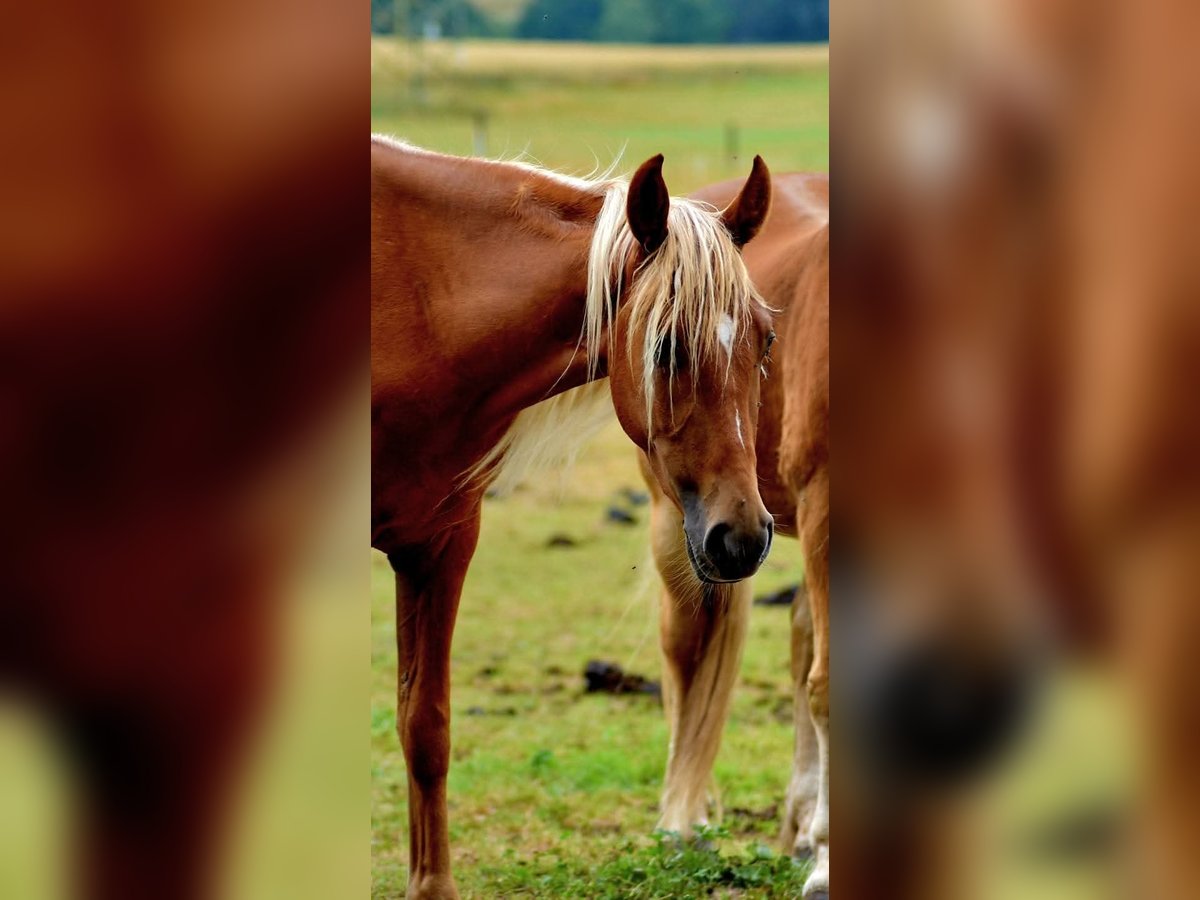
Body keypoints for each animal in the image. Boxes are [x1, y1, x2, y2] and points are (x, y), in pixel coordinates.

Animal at [370, 137, 776, 899]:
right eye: (666, 345)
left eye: (766, 341)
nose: (741, 537)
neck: (416, 302)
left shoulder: (438, 540)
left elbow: (425, 726)